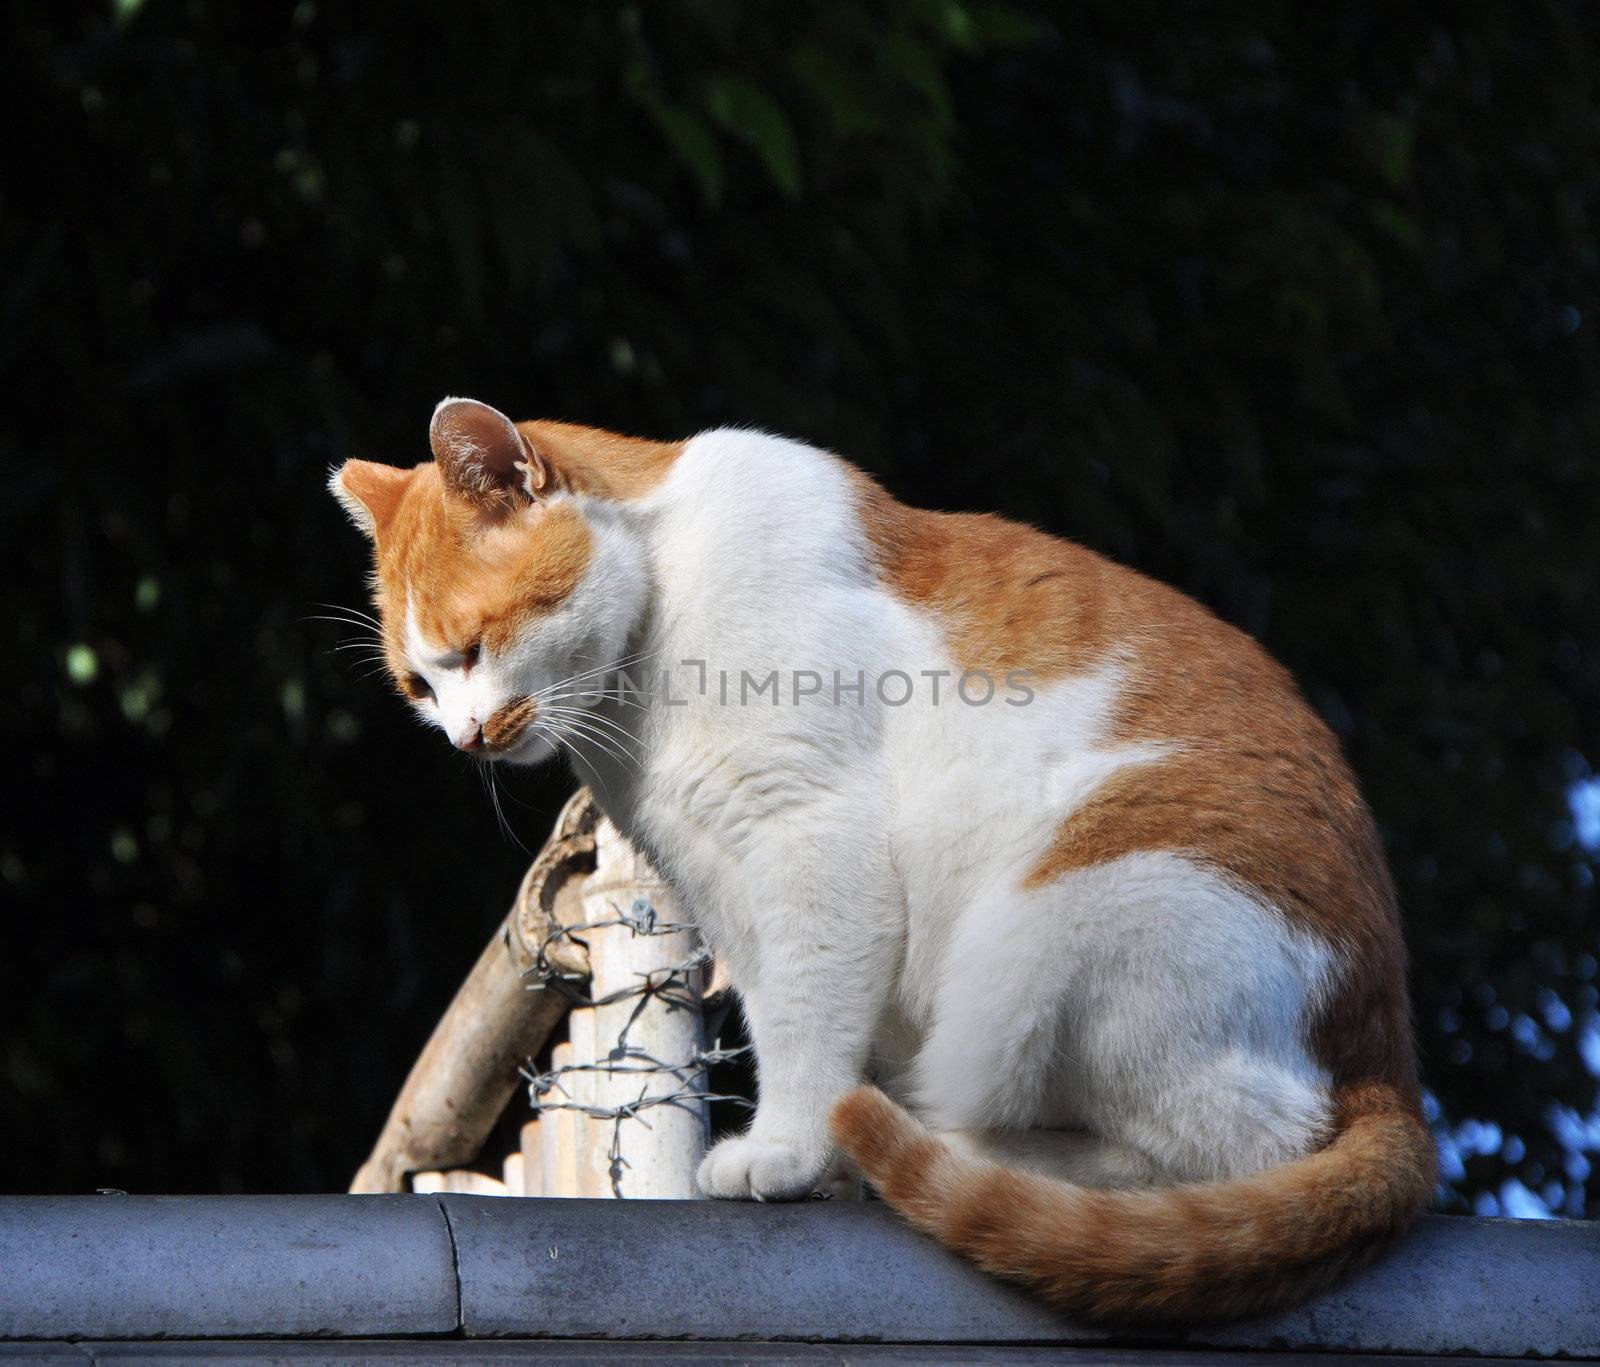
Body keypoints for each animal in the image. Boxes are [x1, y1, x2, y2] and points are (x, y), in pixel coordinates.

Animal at [331, 395, 1433, 1325]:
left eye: (473, 648)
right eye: (420, 686)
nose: (465, 737)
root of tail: (1392, 1070)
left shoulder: (810, 841)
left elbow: (809, 1024)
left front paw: (788, 1148)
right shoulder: (730, 885)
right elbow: (785, 1014)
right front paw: (807, 1152)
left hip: (1073, 912)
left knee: (1238, 1145)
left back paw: (949, 1149)